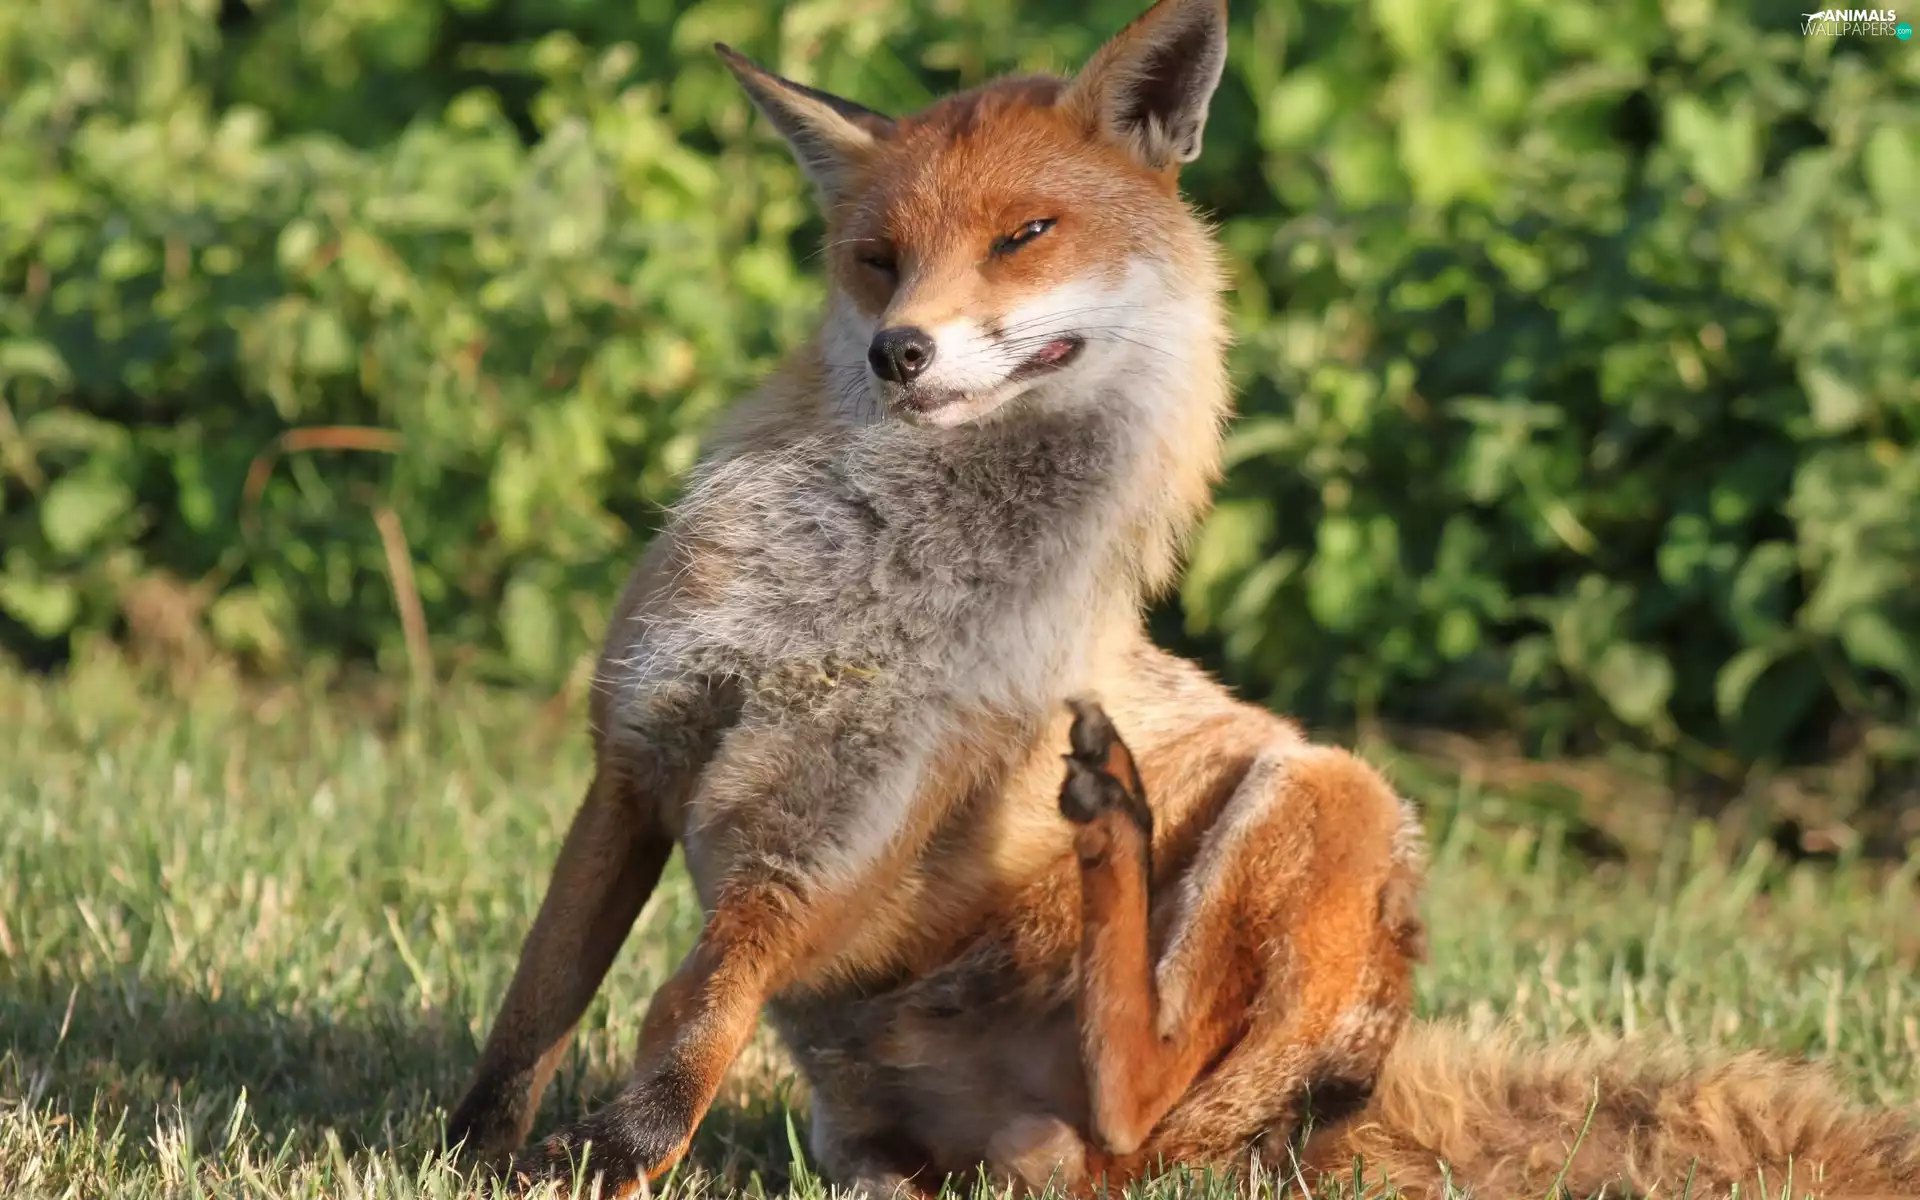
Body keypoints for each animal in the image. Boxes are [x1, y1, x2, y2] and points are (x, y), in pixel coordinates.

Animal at [441, 0, 1920, 1196]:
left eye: (1025, 235)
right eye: (875, 258)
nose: (899, 351)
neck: (851, 592)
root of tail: (1329, 1115)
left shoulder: (836, 833)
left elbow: (691, 1018)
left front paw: (618, 1159)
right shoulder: (638, 759)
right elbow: (537, 1006)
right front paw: (471, 1155)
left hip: (1330, 801)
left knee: (1127, 1111)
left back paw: (1119, 825)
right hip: (870, 1141)